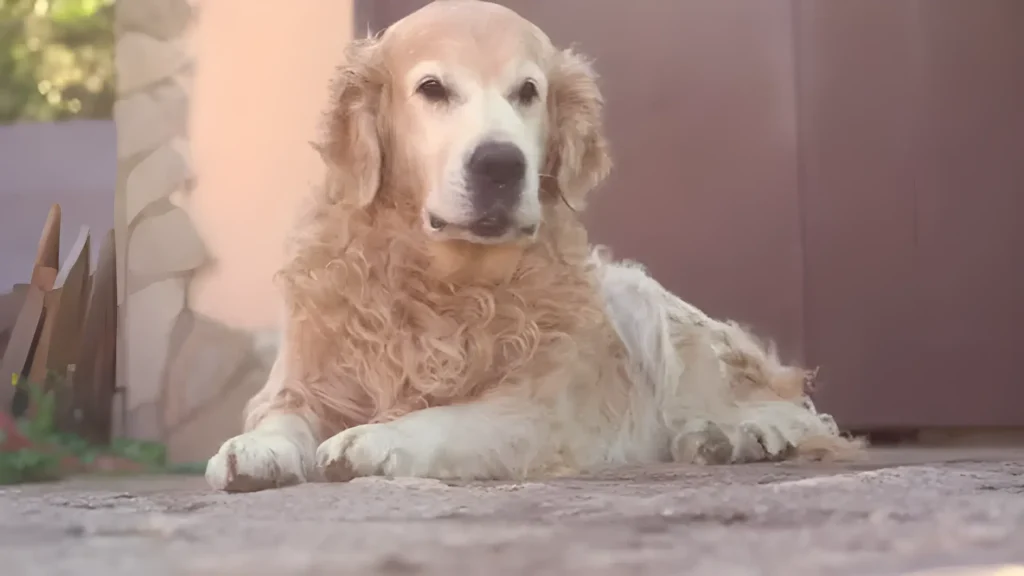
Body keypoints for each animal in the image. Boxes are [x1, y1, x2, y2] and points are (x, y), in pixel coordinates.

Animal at [203, 1, 860, 494]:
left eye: (527, 91)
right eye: (433, 88)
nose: (500, 163)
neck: (441, 284)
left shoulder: (538, 410)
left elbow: (447, 419)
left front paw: (377, 438)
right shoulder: (301, 379)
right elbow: (279, 417)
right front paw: (254, 449)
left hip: (646, 306)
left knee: (789, 410)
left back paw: (744, 436)